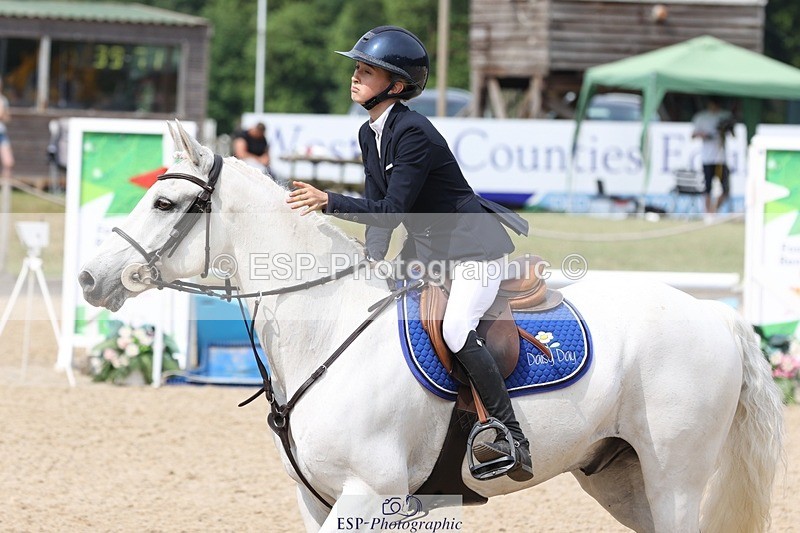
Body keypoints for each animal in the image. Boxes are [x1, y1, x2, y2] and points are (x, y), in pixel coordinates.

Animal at [78, 121, 784, 532]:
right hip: (621, 477)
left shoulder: (368, 492)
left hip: (675, 477)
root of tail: (716, 314)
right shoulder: (320, 500)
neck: (325, 332)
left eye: (164, 202)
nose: (88, 279)